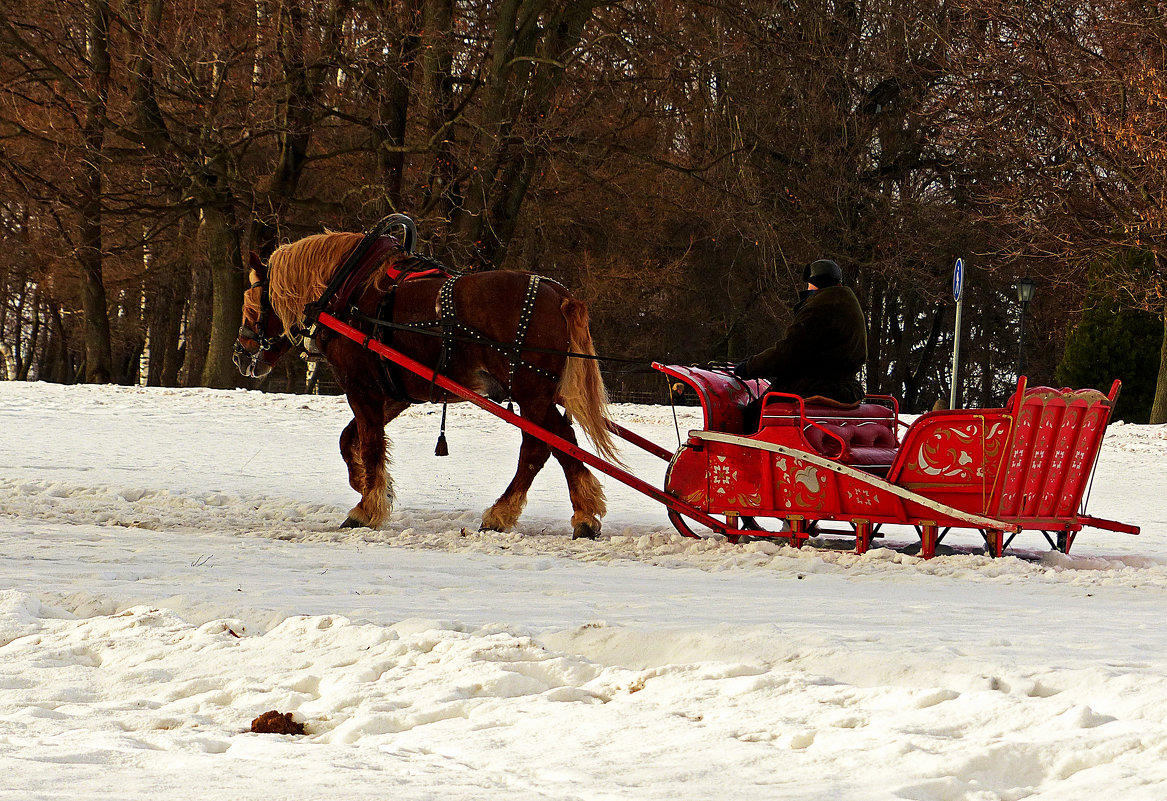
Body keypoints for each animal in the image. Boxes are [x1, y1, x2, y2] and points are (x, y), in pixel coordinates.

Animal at [234, 228, 620, 539]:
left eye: (250, 303)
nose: (240, 353)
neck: (348, 290)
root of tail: (559, 294)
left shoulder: (361, 387)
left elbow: (369, 444)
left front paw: (367, 507)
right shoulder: (393, 393)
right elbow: (350, 440)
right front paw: (368, 486)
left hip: (531, 393)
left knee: (546, 446)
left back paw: (535, 514)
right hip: (537, 394)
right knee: (554, 444)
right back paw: (552, 514)